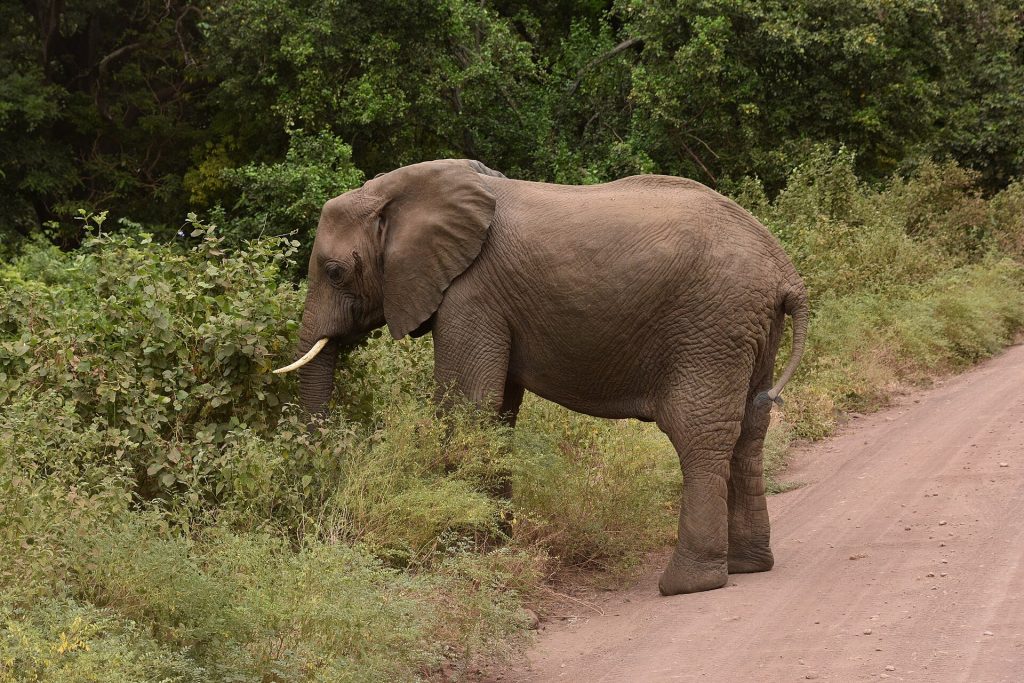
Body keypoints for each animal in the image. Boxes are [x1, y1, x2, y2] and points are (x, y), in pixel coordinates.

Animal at [274, 159, 808, 595]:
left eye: (335, 272)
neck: (405, 190)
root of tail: (786, 273)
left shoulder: (470, 292)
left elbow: (467, 406)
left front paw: (461, 556)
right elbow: (497, 414)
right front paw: (493, 551)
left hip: (712, 326)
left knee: (698, 433)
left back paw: (686, 584)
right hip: (749, 330)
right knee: (749, 431)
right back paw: (747, 566)